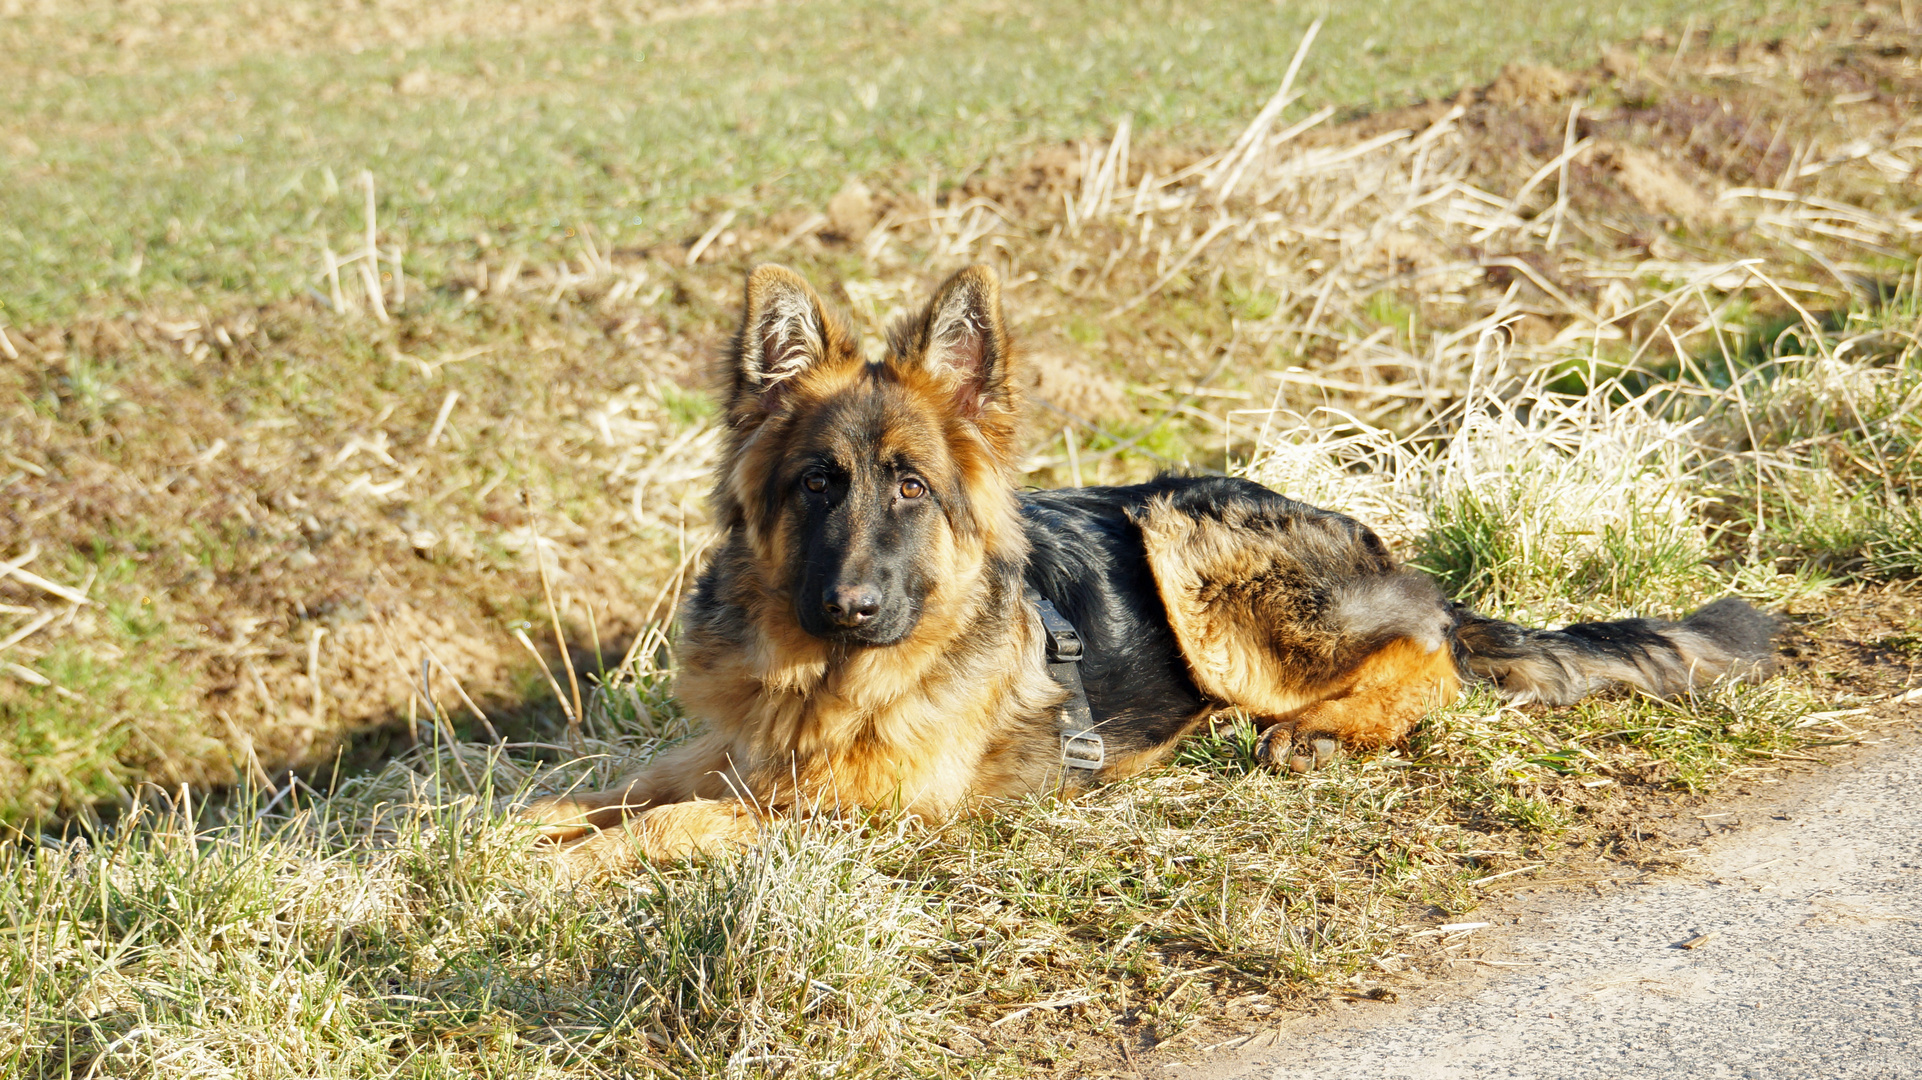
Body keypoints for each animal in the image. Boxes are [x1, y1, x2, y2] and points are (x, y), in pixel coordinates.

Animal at [518, 265, 1775, 868]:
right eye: (818, 485)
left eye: (909, 487)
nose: (851, 604)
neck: (822, 681)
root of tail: (1359, 537)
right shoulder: (731, 753)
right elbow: (608, 792)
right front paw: (514, 840)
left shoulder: (862, 812)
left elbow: (677, 826)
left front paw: (569, 867)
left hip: (1189, 543)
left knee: (1425, 657)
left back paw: (1311, 730)